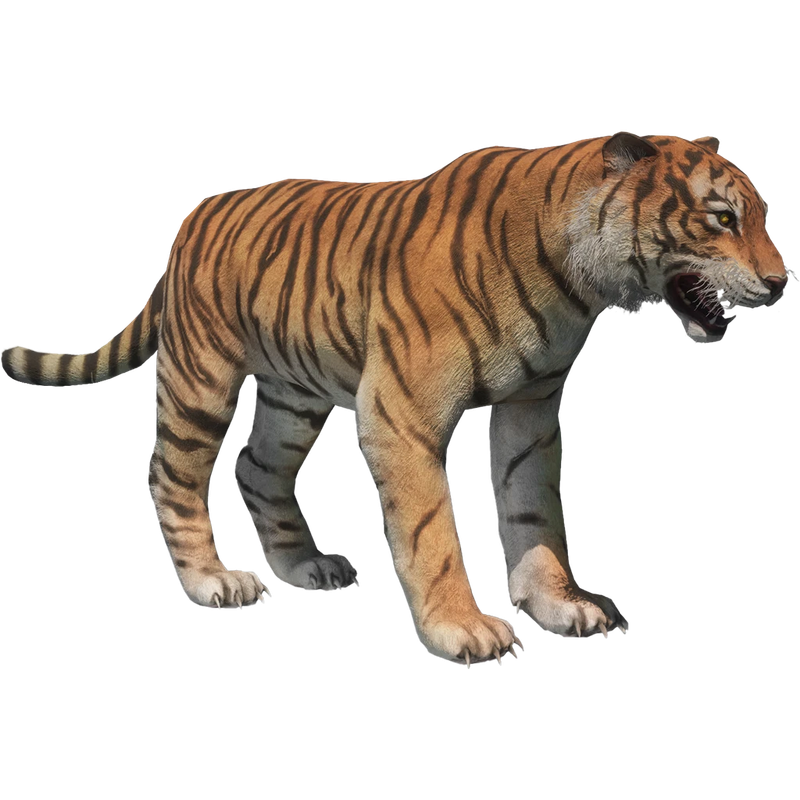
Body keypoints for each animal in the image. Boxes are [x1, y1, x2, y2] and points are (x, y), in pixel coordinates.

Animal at [1, 131, 788, 667]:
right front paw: (463, 629)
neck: (576, 280)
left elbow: (535, 514)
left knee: (257, 468)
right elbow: (432, 534)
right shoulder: (401, 414)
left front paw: (561, 605)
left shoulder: (532, 412)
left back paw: (305, 566)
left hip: (294, 395)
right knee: (173, 474)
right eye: (721, 218)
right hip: (203, 376)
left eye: (759, 216)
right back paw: (213, 581)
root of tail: (198, 212)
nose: (784, 283)